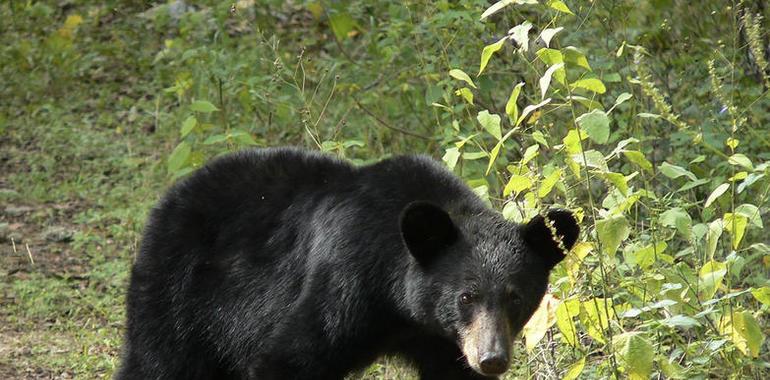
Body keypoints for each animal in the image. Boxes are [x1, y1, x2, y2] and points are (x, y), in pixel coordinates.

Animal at [117, 147, 576, 378]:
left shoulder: (442, 341)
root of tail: (174, 194)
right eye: (467, 296)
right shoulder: (345, 280)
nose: (491, 358)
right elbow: (289, 357)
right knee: (158, 363)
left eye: (515, 297)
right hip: (180, 295)